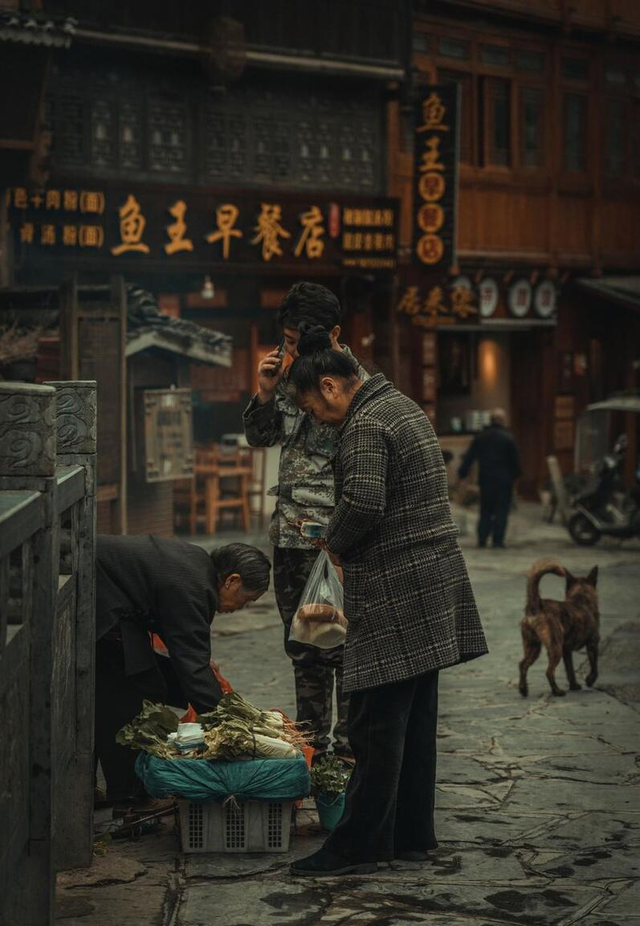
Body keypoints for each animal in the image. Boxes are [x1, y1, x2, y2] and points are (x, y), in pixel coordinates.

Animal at [520, 560, 600, 696]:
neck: (581, 598)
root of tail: (537, 604)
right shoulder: (593, 644)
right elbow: (594, 667)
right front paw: (590, 680)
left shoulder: (567, 651)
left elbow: (570, 670)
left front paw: (574, 685)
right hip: (555, 648)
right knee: (549, 671)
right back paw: (557, 691)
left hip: (533, 647)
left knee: (523, 665)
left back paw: (523, 689)